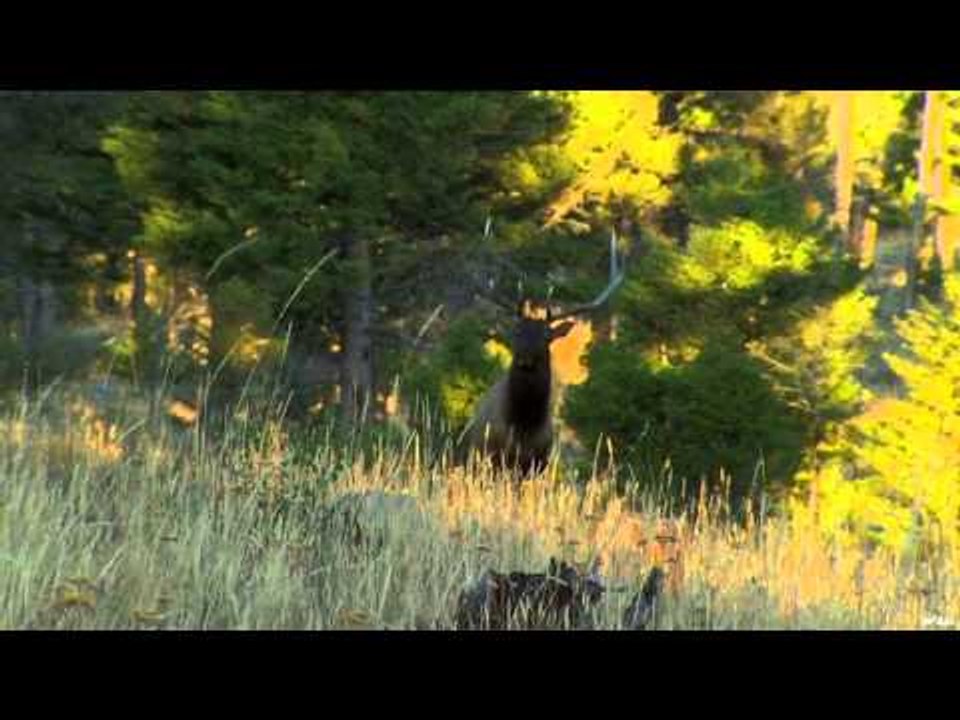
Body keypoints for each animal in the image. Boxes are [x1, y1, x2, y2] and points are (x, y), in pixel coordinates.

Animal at [455, 226, 626, 476]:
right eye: (516, 330)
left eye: (547, 336)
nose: (525, 359)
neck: (523, 428)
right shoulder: (493, 455)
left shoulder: (537, 462)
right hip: (472, 455)